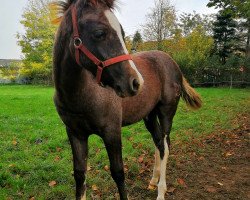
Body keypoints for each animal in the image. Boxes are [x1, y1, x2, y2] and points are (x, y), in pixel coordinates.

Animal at [51, 0, 202, 199]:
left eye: (122, 33)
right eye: (99, 33)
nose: (136, 82)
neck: (80, 95)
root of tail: (173, 63)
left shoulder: (112, 131)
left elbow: (118, 172)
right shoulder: (75, 133)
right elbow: (79, 174)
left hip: (166, 112)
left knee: (165, 145)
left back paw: (161, 190)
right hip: (149, 115)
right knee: (158, 142)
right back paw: (153, 180)